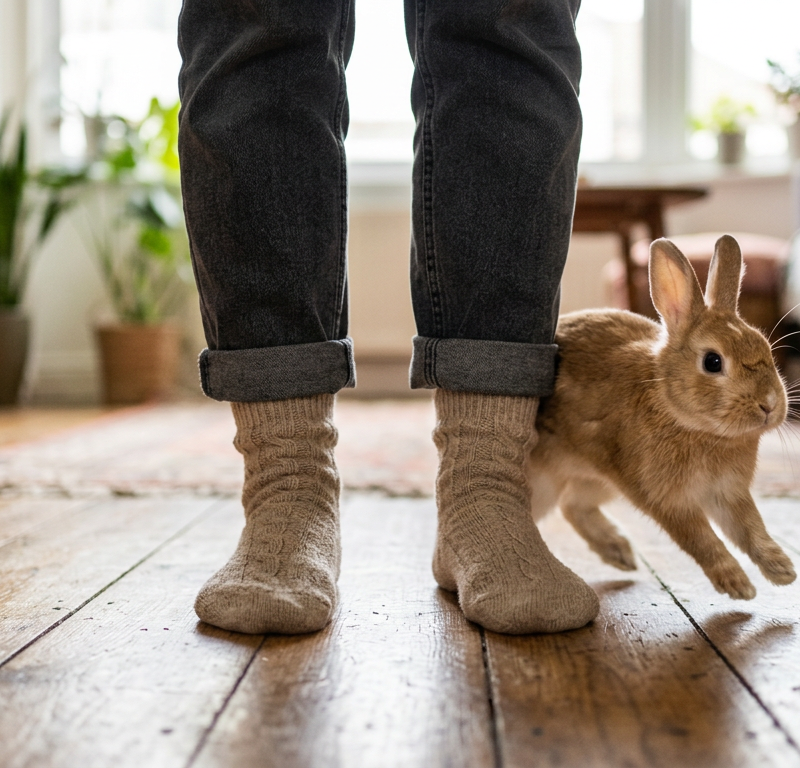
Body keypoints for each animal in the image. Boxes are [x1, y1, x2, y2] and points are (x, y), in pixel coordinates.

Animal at [528, 234, 796, 600]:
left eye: (765, 348)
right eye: (713, 362)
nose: (768, 405)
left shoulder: (728, 493)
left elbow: (750, 528)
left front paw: (782, 570)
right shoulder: (665, 498)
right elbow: (701, 539)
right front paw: (737, 584)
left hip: (598, 480)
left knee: (573, 505)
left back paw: (620, 554)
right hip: (548, 483)